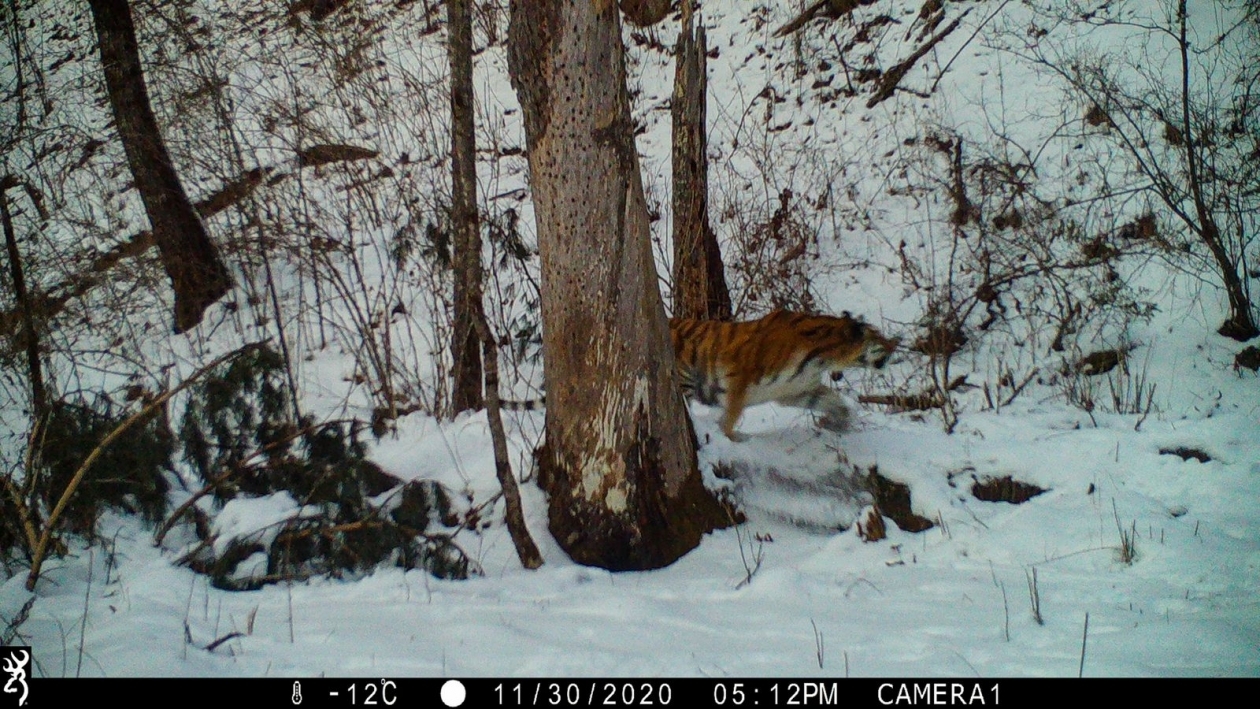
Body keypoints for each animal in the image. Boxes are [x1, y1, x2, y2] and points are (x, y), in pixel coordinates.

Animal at [670, 309, 897, 440]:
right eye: (879, 337)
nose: (896, 344)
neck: (823, 358)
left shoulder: (796, 390)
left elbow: (834, 402)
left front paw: (837, 424)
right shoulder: (740, 376)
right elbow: (732, 415)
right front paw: (729, 437)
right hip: (685, 378)